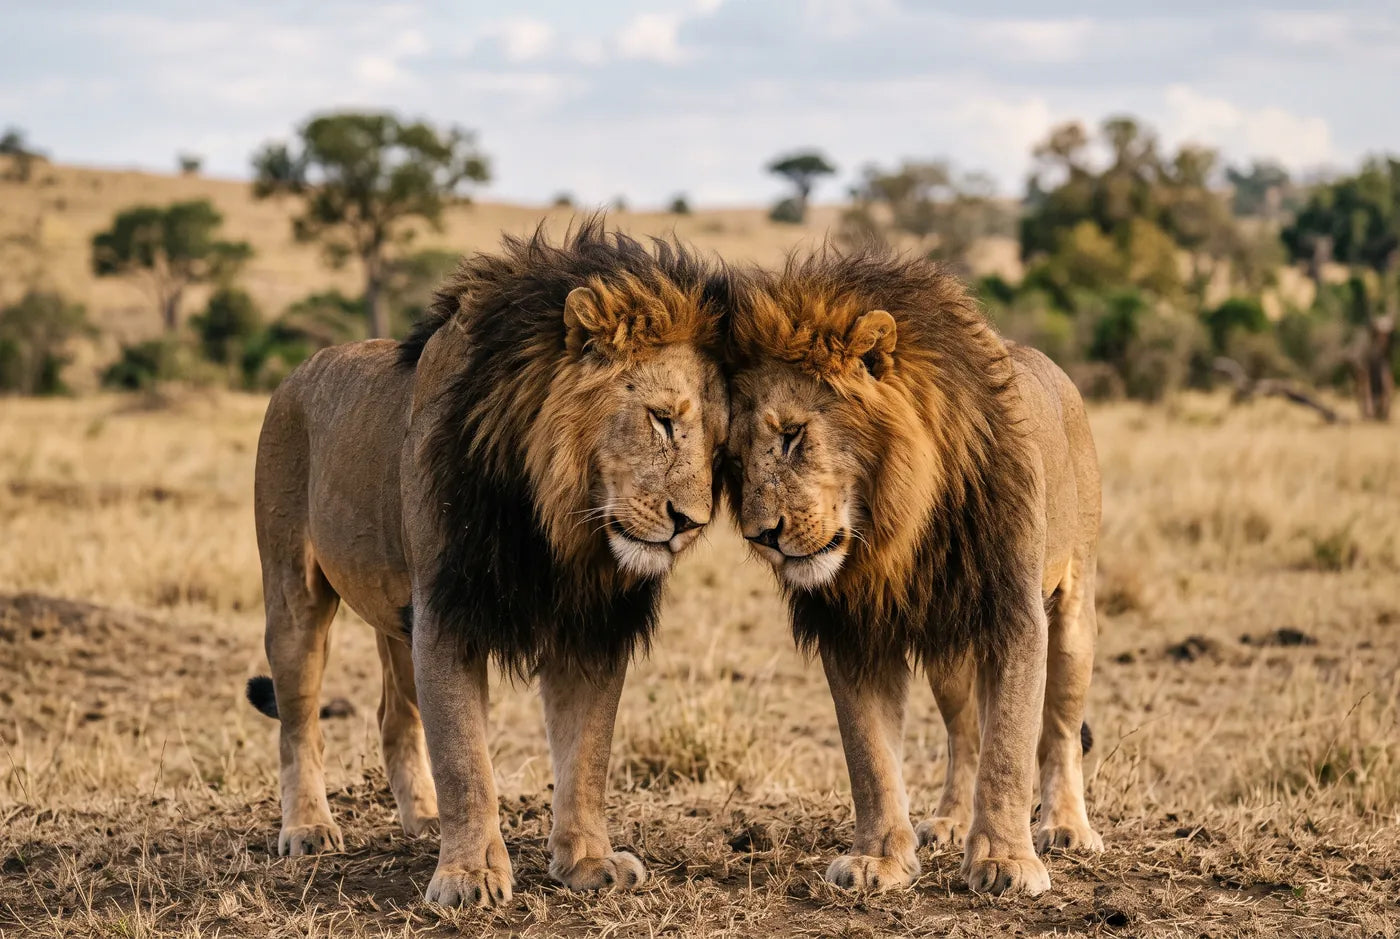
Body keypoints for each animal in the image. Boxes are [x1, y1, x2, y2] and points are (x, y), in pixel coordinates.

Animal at [244, 219, 729, 907]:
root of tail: (297, 372)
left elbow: (587, 756)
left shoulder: (591, 625)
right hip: (295, 594)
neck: (558, 525)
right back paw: (309, 828)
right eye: (661, 420)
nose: (689, 523)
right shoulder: (448, 611)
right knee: (298, 720)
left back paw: (422, 819)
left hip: (399, 615)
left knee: (395, 714)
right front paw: (469, 876)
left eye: (722, 450)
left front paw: (588, 862)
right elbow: (464, 756)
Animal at [722, 248, 1102, 897]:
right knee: (964, 734)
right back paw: (950, 821)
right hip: (949, 652)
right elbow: (870, 756)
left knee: (1058, 730)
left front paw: (1006, 861)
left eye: (794, 435)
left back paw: (1067, 827)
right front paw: (878, 860)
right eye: (735, 458)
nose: (761, 534)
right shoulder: (853, 629)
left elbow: (1011, 744)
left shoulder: (1015, 613)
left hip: (1074, 613)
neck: (895, 529)